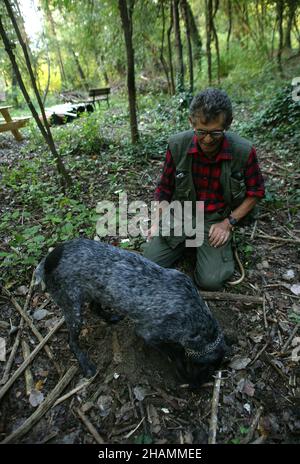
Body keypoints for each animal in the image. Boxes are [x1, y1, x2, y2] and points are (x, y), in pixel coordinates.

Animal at [34, 237, 229, 386]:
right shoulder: (149, 333)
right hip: (72, 306)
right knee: (72, 341)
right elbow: (174, 353)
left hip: (96, 290)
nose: (198, 386)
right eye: (206, 368)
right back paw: (86, 363)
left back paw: (111, 317)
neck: (196, 316)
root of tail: (49, 259)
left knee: (94, 308)